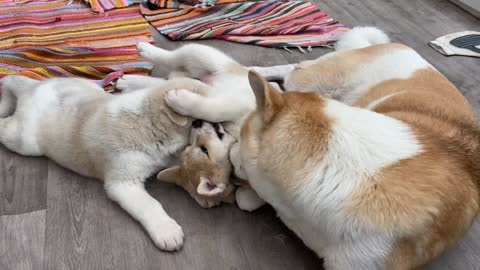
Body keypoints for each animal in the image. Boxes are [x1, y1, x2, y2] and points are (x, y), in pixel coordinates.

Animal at [0, 74, 214, 251]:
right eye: (199, 119)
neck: (149, 121)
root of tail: (33, 86)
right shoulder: (123, 183)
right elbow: (150, 205)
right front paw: (167, 231)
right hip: (25, 141)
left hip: (88, 86)